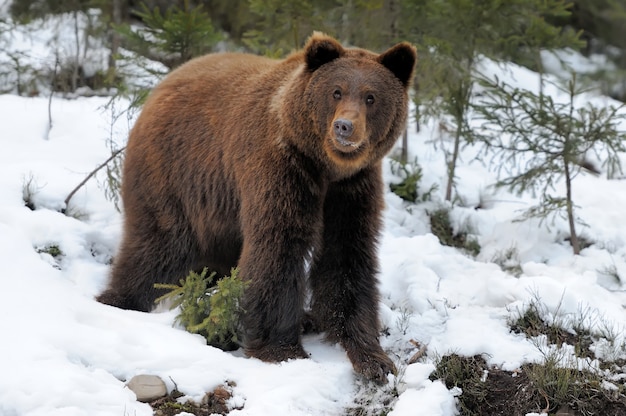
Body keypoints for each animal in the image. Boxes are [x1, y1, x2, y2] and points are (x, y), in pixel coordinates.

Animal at [98, 32, 414, 384]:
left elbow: (347, 257)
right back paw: (121, 299)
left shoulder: (352, 189)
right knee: (158, 245)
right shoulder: (279, 167)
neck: (324, 167)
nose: (345, 126)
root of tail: (161, 85)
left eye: (371, 97)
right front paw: (283, 350)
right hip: (174, 173)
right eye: (336, 91)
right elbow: (278, 247)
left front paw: (372, 357)